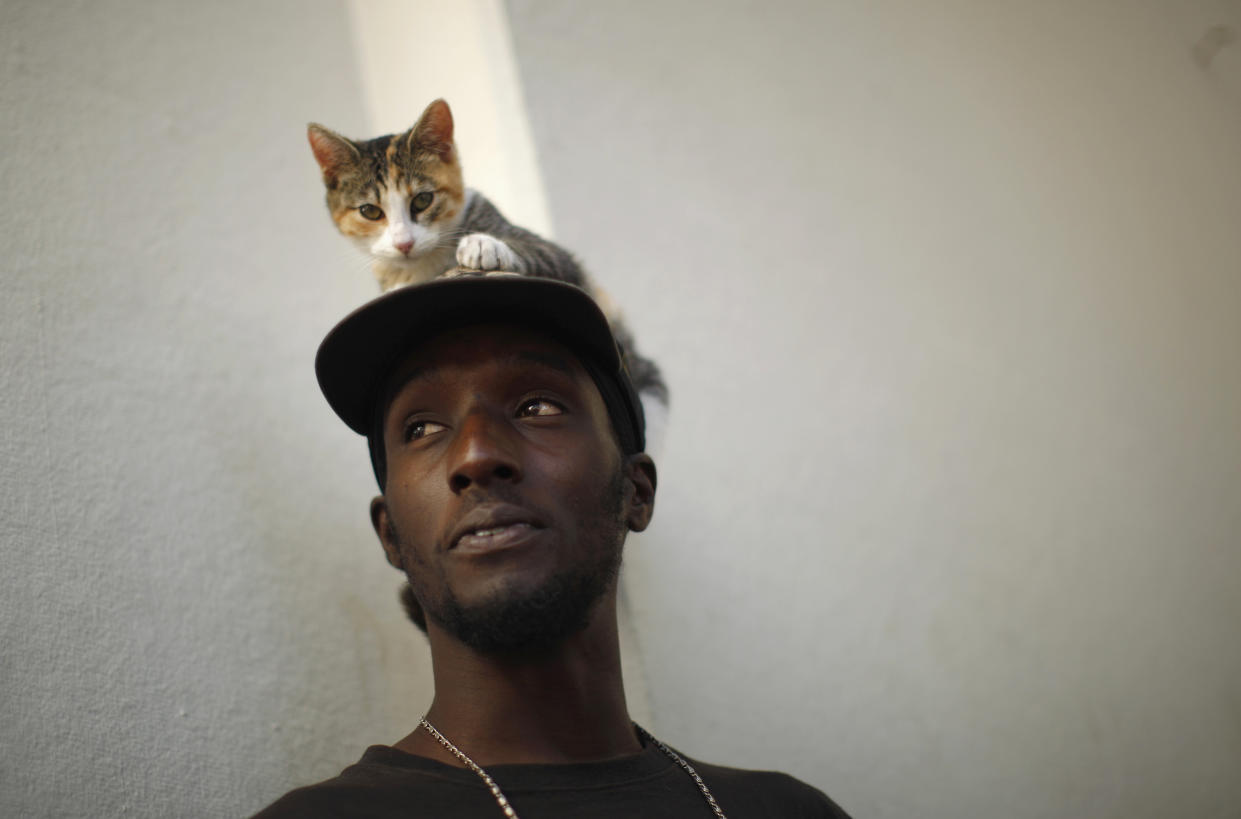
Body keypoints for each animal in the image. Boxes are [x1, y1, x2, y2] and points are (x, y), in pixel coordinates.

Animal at [307, 98, 670, 411]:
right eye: (370, 211)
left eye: (422, 200)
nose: (403, 243)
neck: (425, 265)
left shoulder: (561, 260)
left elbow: (538, 252)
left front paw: (484, 245)